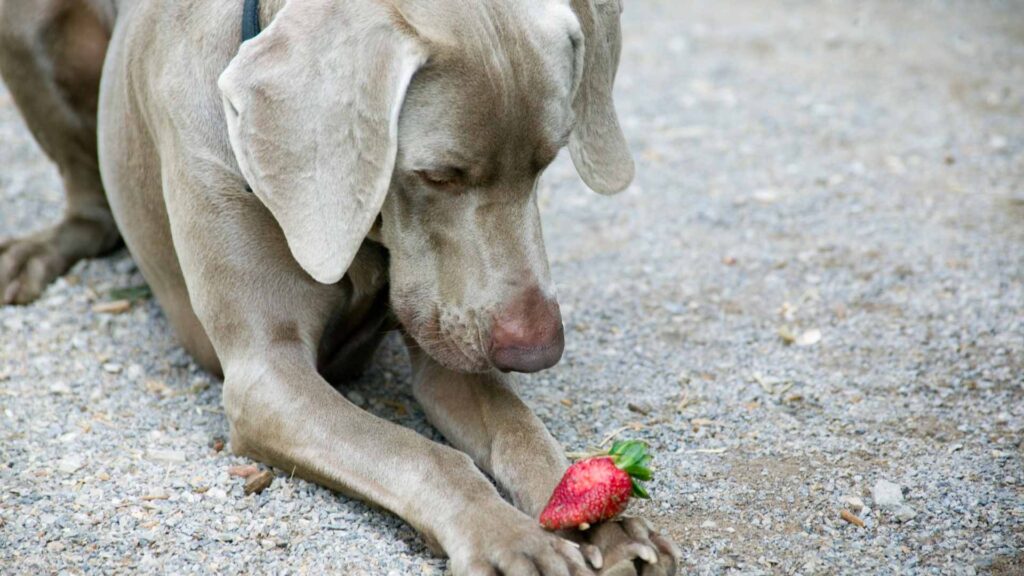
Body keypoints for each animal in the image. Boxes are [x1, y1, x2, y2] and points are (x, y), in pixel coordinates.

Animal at [0, 0, 679, 569]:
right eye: (438, 175)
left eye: (548, 161)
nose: (537, 352)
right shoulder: (267, 377)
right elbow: (421, 454)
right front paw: (510, 537)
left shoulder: (448, 341)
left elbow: (519, 430)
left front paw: (607, 524)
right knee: (90, 208)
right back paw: (32, 256)